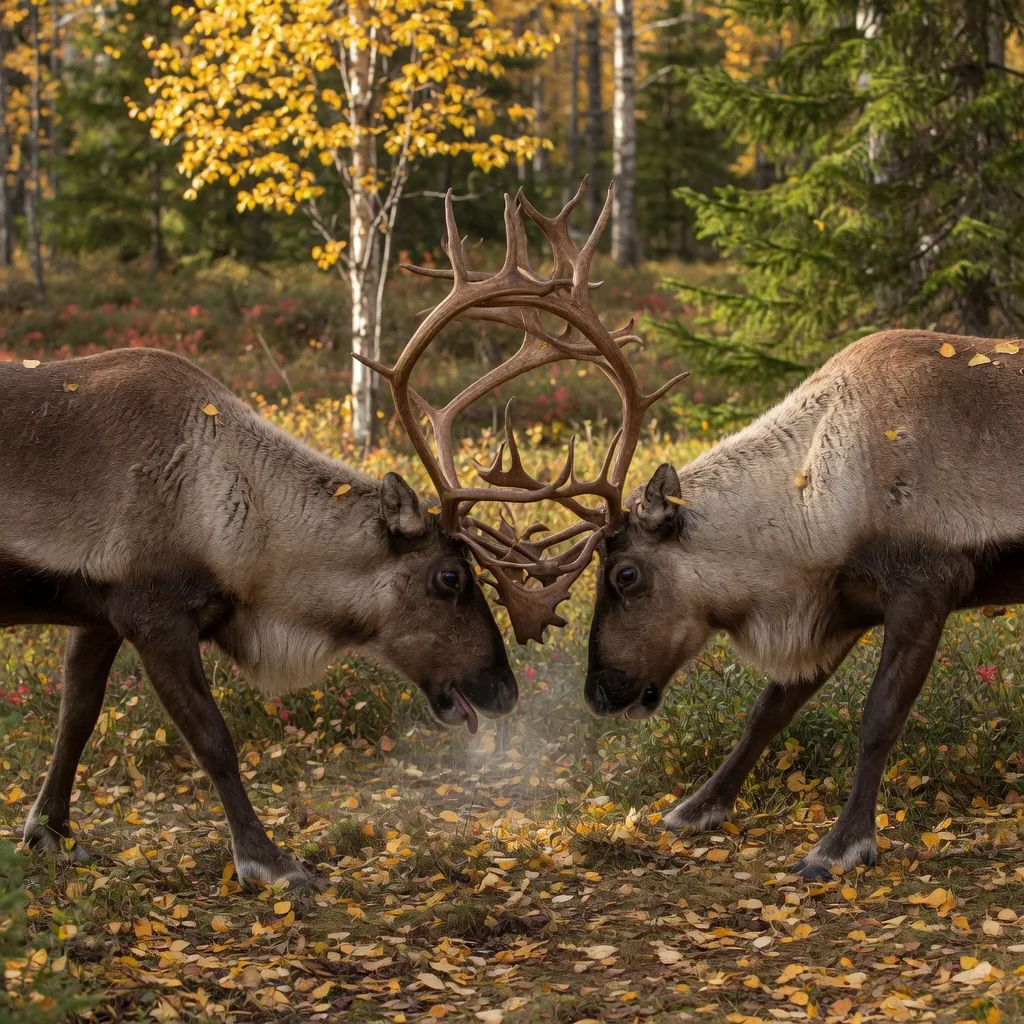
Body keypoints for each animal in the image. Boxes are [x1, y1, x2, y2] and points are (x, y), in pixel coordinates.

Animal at [2, 181, 678, 891]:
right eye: (449, 576)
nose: (504, 691)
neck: (229, 512)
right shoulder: (154, 613)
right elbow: (214, 739)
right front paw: (269, 860)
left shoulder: (98, 607)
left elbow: (75, 717)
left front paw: (48, 831)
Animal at [584, 327, 1024, 879]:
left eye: (625, 574)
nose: (597, 692)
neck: (819, 498)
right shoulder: (841, 607)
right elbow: (768, 710)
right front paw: (697, 808)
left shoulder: (926, 587)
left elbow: (879, 719)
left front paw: (841, 845)